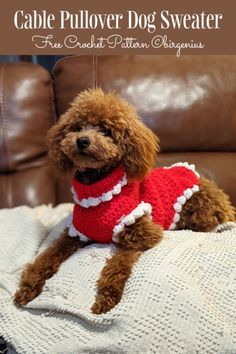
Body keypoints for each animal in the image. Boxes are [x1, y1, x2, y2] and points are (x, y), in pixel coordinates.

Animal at [13, 88, 235, 312]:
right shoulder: (75, 234)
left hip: (202, 212)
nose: (82, 141)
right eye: (78, 127)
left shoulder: (140, 234)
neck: (98, 189)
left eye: (106, 131)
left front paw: (107, 296)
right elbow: (48, 256)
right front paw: (28, 286)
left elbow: (117, 264)